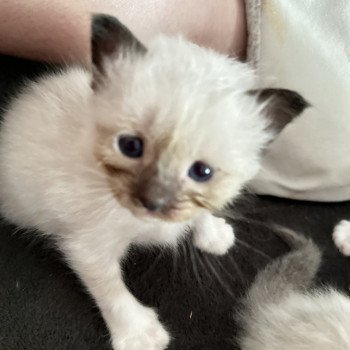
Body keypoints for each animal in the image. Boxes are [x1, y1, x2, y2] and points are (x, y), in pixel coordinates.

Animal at [0, 13, 306, 350]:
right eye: (130, 146)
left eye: (202, 172)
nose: (153, 202)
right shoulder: (86, 245)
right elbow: (110, 288)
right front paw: (140, 333)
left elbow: (198, 211)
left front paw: (212, 233)